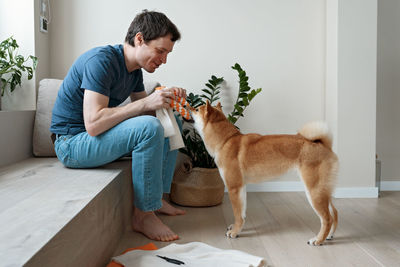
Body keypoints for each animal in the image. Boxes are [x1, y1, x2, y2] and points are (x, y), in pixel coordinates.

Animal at [191, 101, 338, 246]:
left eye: (197, 109)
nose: (189, 106)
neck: (226, 141)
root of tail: (324, 145)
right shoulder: (241, 188)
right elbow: (242, 214)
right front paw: (237, 227)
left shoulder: (234, 188)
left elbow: (237, 214)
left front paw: (234, 232)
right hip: (322, 191)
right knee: (334, 214)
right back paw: (329, 236)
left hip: (314, 191)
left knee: (327, 219)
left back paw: (318, 240)